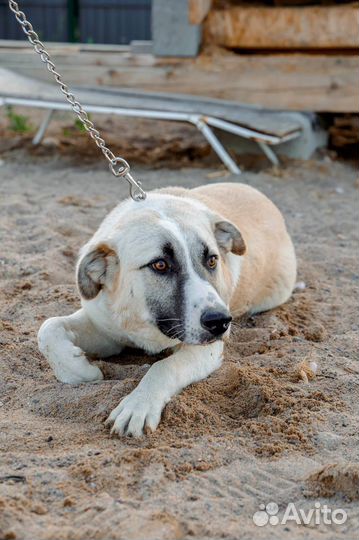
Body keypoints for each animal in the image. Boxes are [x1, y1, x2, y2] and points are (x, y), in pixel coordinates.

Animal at [37, 184, 296, 436]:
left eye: (212, 260)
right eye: (160, 264)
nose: (220, 321)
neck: (144, 323)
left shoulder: (207, 348)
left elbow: (165, 366)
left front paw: (138, 404)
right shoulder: (106, 328)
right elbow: (48, 328)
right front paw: (82, 371)